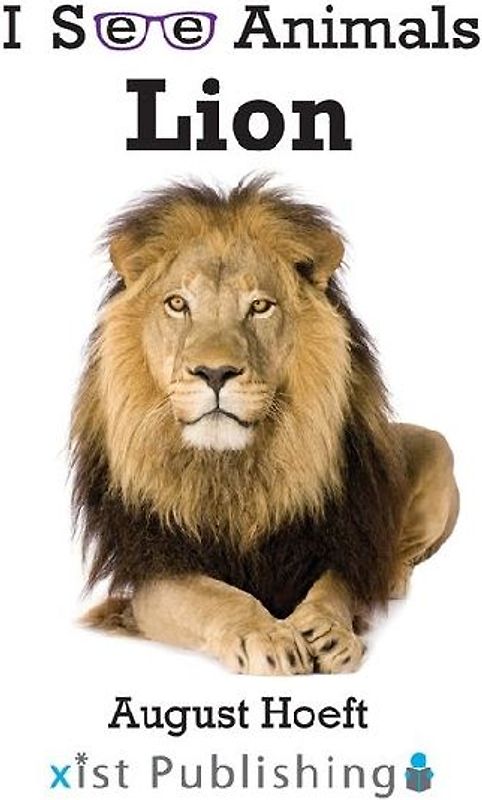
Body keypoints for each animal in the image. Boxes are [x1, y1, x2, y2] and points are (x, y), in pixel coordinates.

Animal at [71, 177, 459, 675]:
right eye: (177, 304)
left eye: (259, 306)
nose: (215, 372)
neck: (235, 469)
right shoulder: (155, 570)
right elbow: (216, 597)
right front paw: (267, 636)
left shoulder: (340, 543)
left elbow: (335, 588)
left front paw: (329, 631)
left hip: (437, 447)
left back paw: (389, 576)